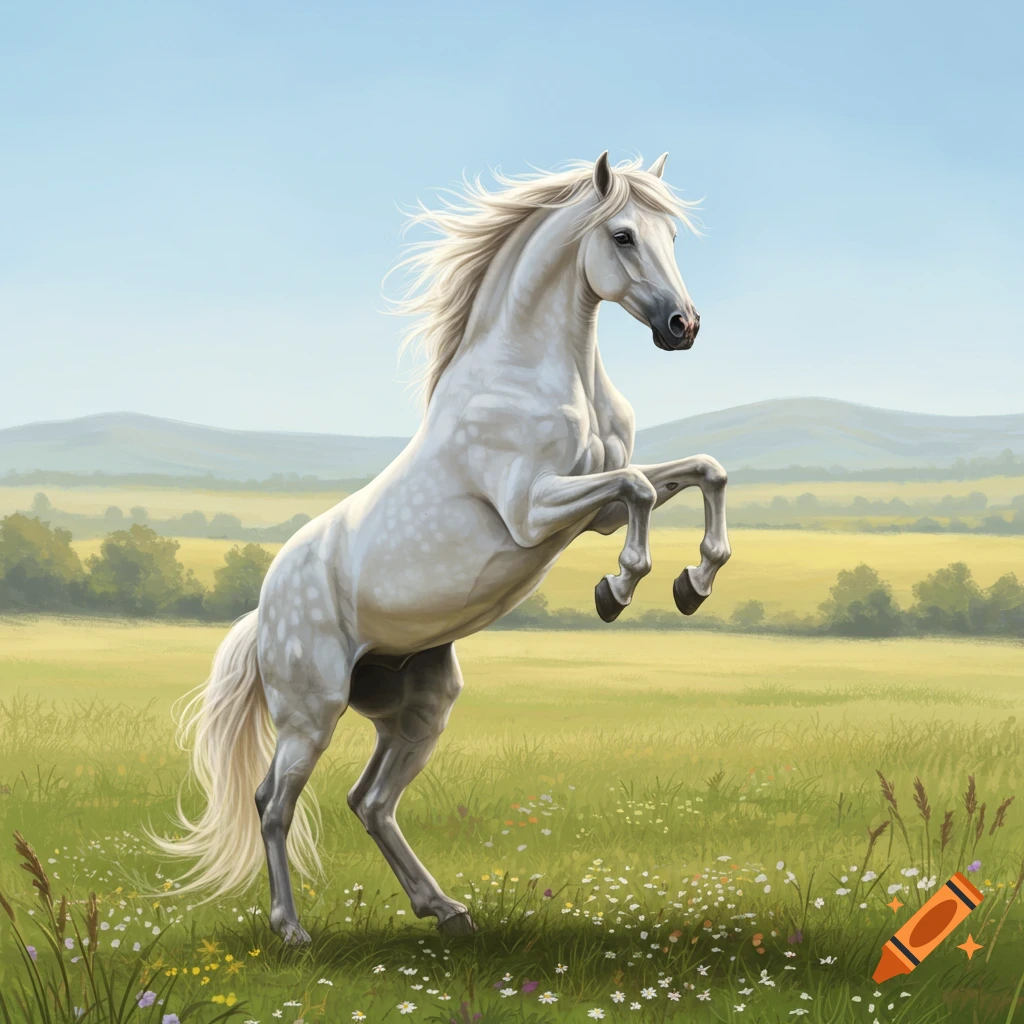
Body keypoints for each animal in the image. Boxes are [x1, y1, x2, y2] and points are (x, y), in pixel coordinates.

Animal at [150, 151, 732, 944]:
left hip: (419, 706)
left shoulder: (598, 513)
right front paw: (618, 591)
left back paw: (446, 910)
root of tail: (263, 611)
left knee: (369, 801)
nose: (684, 325)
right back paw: (292, 930)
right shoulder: (533, 508)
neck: (538, 377)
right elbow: (642, 485)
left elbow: (701, 470)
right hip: (311, 712)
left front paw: (693, 582)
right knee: (272, 803)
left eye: (671, 235)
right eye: (622, 235)